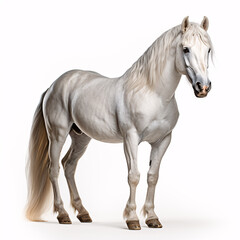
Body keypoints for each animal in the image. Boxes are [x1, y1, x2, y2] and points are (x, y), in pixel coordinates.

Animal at [25, 16, 214, 231]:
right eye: (185, 49)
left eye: (208, 49)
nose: (203, 87)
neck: (153, 93)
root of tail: (53, 86)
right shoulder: (130, 138)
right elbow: (134, 176)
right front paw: (132, 219)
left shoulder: (163, 140)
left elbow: (152, 176)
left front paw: (152, 218)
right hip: (58, 134)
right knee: (54, 169)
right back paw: (63, 214)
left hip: (81, 138)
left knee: (69, 166)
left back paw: (83, 213)